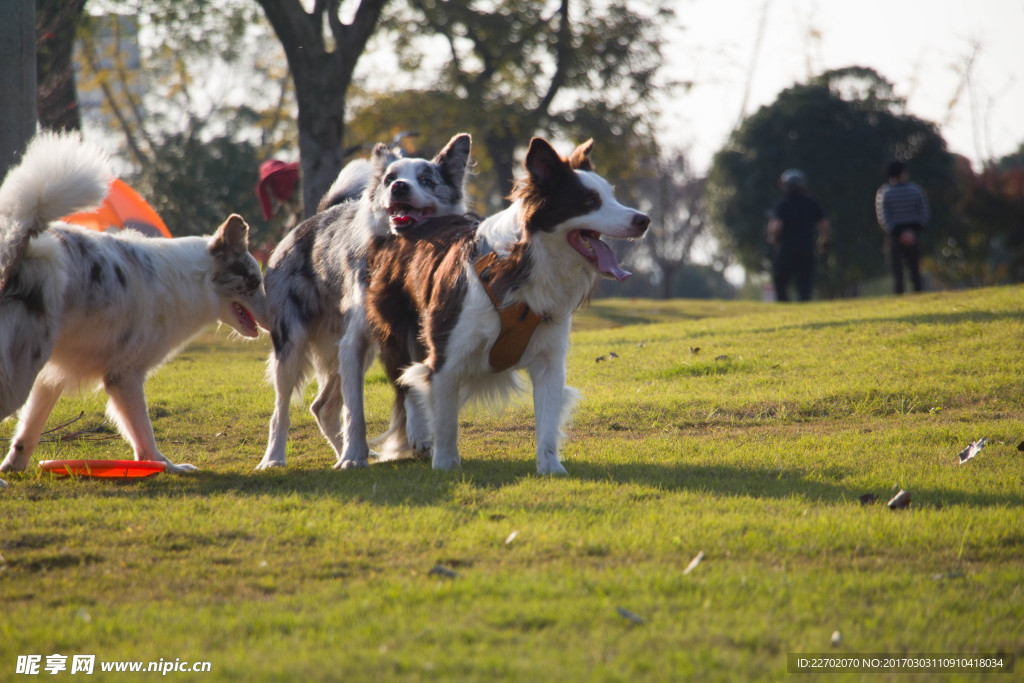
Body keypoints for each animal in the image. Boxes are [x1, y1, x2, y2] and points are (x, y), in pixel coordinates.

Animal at [370, 136, 647, 473]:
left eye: (612, 196)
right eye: (590, 201)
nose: (644, 220)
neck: (527, 263)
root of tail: (408, 226)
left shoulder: (549, 359)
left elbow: (547, 421)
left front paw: (551, 469)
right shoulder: (447, 356)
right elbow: (446, 420)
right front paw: (446, 465)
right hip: (397, 329)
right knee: (406, 384)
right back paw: (418, 434)